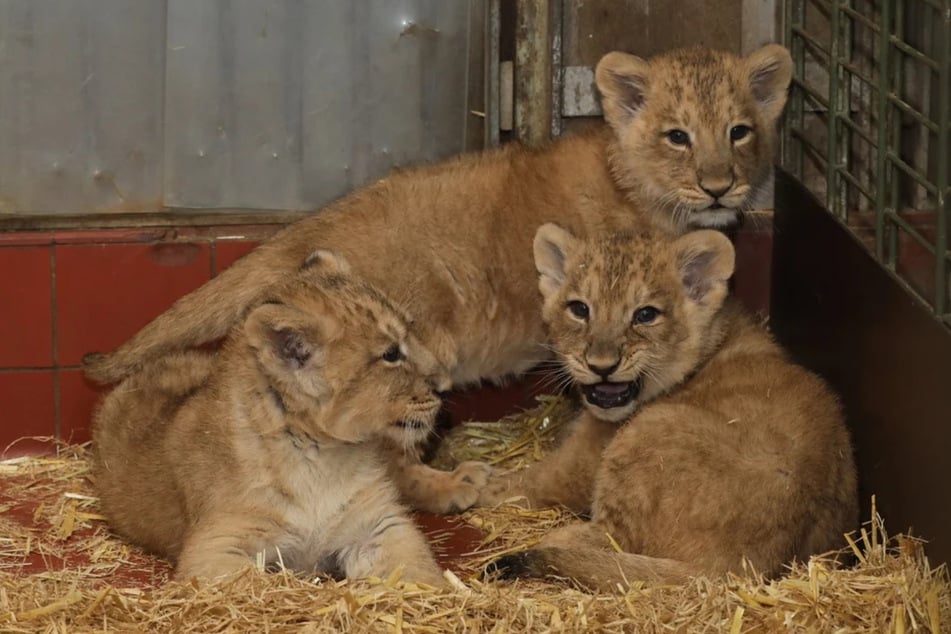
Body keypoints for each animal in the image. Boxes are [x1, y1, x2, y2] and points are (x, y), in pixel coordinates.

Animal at [92, 251, 461, 585]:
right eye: (390, 354)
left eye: (410, 333)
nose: (445, 387)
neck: (320, 456)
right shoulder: (217, 545)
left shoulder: (377, 525)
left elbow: (417, 573)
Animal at [478, 225, 858, 590]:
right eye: (580, 309)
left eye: (645, 315)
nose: (601, 366)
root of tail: (738, 570)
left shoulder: (576, 465)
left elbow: (521, 483)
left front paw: (473, 481)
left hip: (647, 430)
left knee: (611, 540)